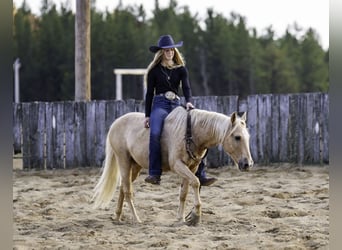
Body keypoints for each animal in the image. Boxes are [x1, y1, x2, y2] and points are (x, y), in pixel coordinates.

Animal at [92, 106, 252, 226]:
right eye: (237, 137)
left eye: (248, 136)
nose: (247, 164)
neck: (191, 132)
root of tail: (115, 123)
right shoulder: (178, 165)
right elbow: (196, 182)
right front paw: (195, 216)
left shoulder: (191, 167)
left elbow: (184, 192)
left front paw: (181, 218)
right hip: (123, 160)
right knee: (127, 190)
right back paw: (136, 219)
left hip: (135, 165)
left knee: (123, 187)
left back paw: (118, 216)